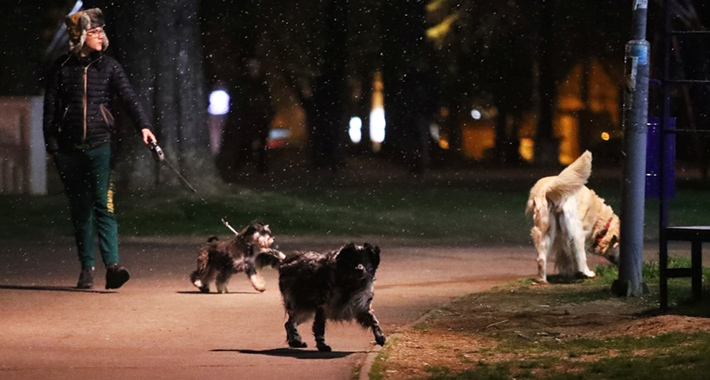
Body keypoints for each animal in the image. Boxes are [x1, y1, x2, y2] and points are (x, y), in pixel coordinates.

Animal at [524, 151, 620, 282]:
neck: (602, 222)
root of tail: (548, 190)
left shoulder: (562, 240)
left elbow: (566, 258)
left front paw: (569, 273)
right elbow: (576, 257)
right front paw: (578, 273)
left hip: (544, 231)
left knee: (541, 258)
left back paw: (542, 279)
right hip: (576, 231)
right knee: (581, 256)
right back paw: (588, 273)